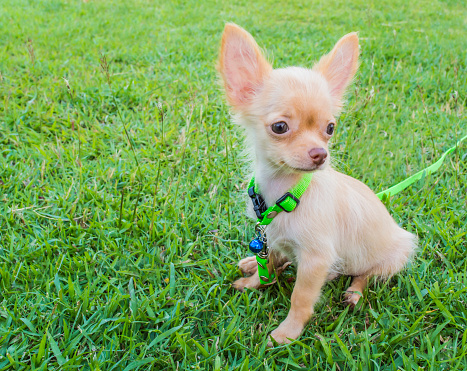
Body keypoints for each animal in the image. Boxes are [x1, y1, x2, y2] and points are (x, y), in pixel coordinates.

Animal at [218, 24, 418, 346]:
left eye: (330, 128)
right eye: (280, 127)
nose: (320, 154)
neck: (285, 192)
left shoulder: (316, 259)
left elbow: (300, 297)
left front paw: (287, 333)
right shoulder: (271, 237)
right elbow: (268, 264)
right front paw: (253, 282)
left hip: (395, 253)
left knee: (367, 273)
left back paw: (353, 292)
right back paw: (251, 261)